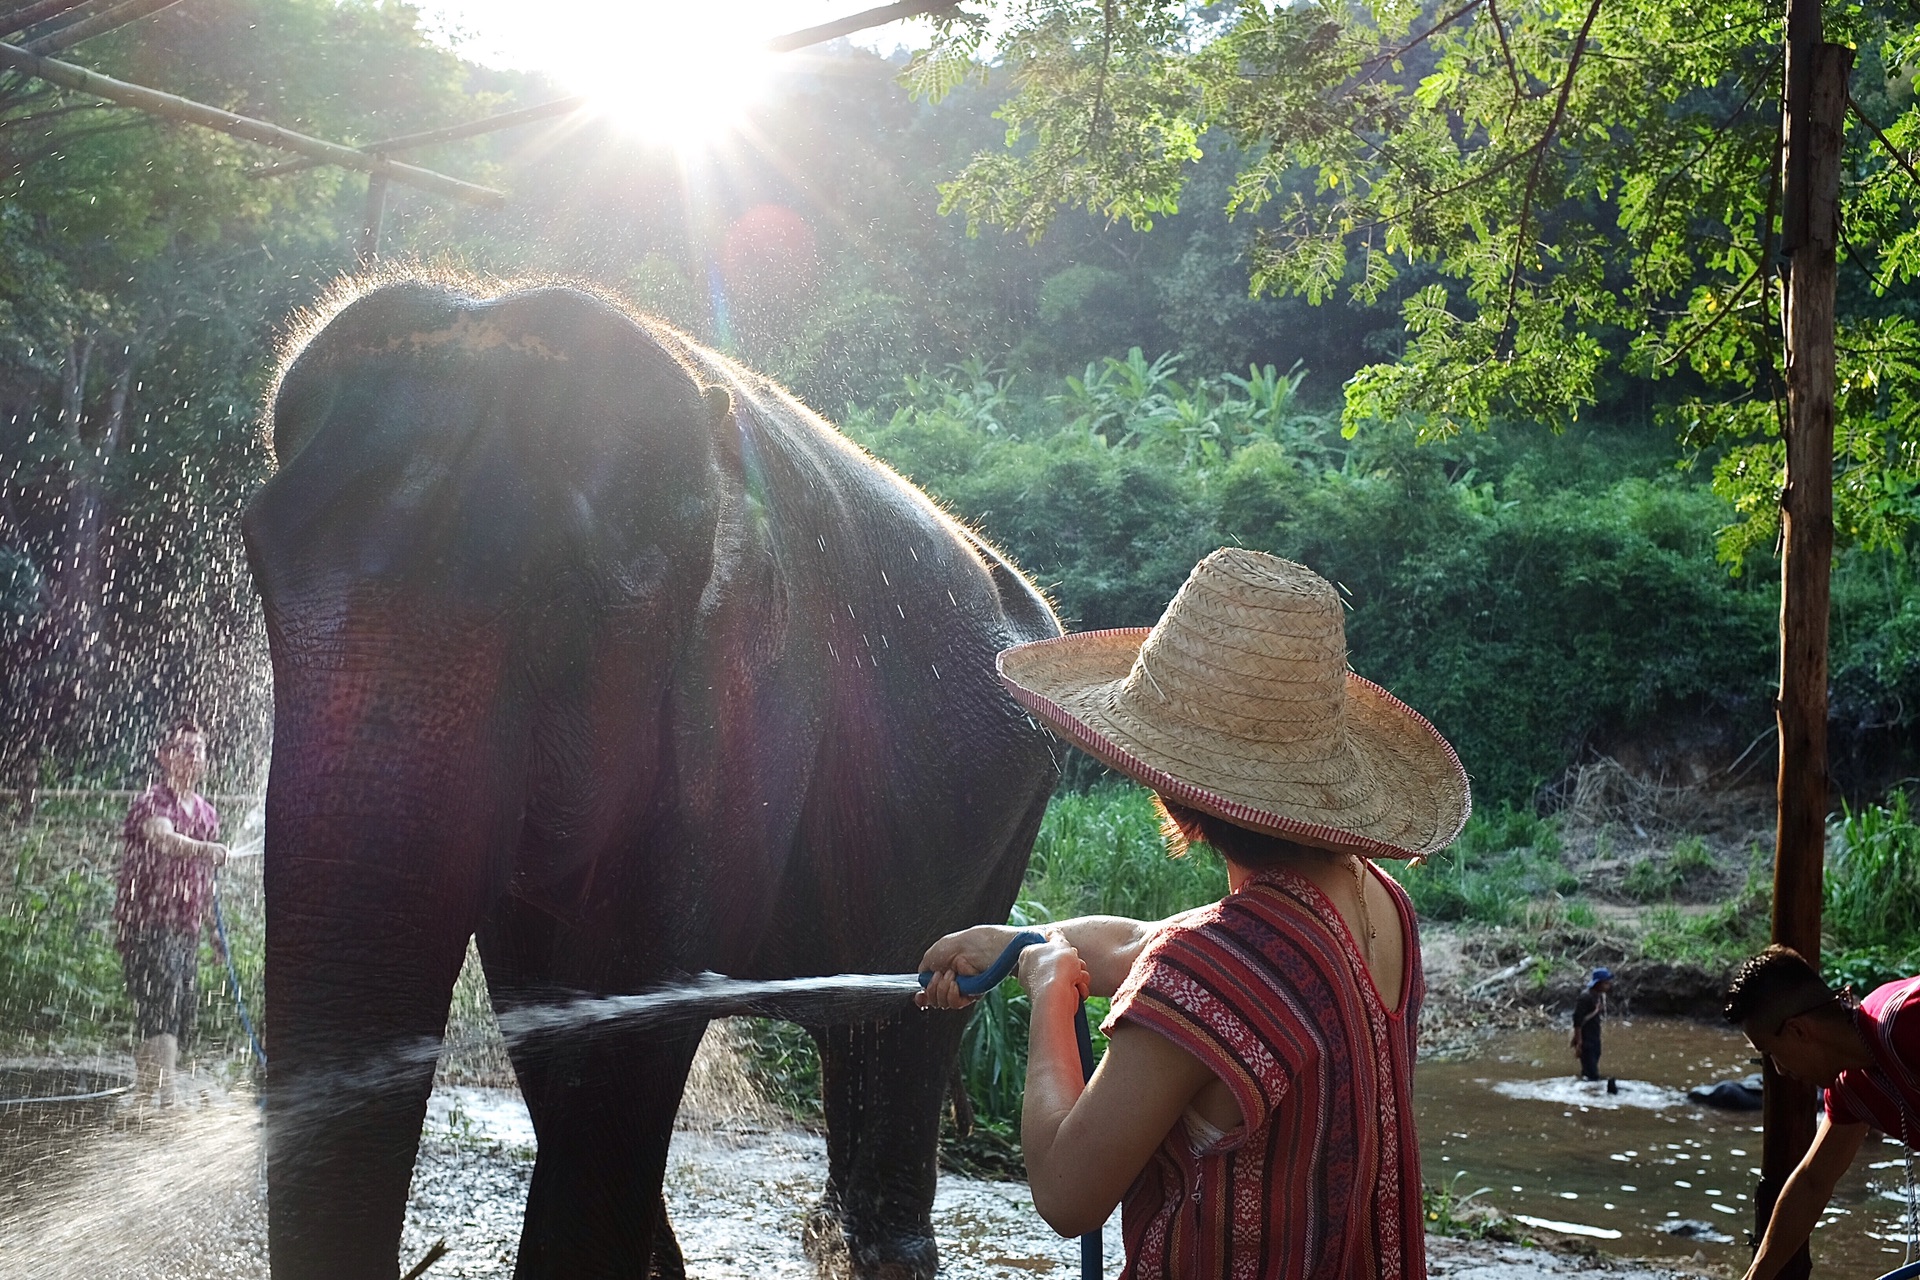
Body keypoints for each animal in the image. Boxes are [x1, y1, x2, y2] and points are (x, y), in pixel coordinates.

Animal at [243, 280, 1067, 1280]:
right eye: (254, 564)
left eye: (564, 608)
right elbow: (544, 998)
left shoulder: (760, 697)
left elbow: (640, 996)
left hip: (1002, 834)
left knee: (910, 1041)